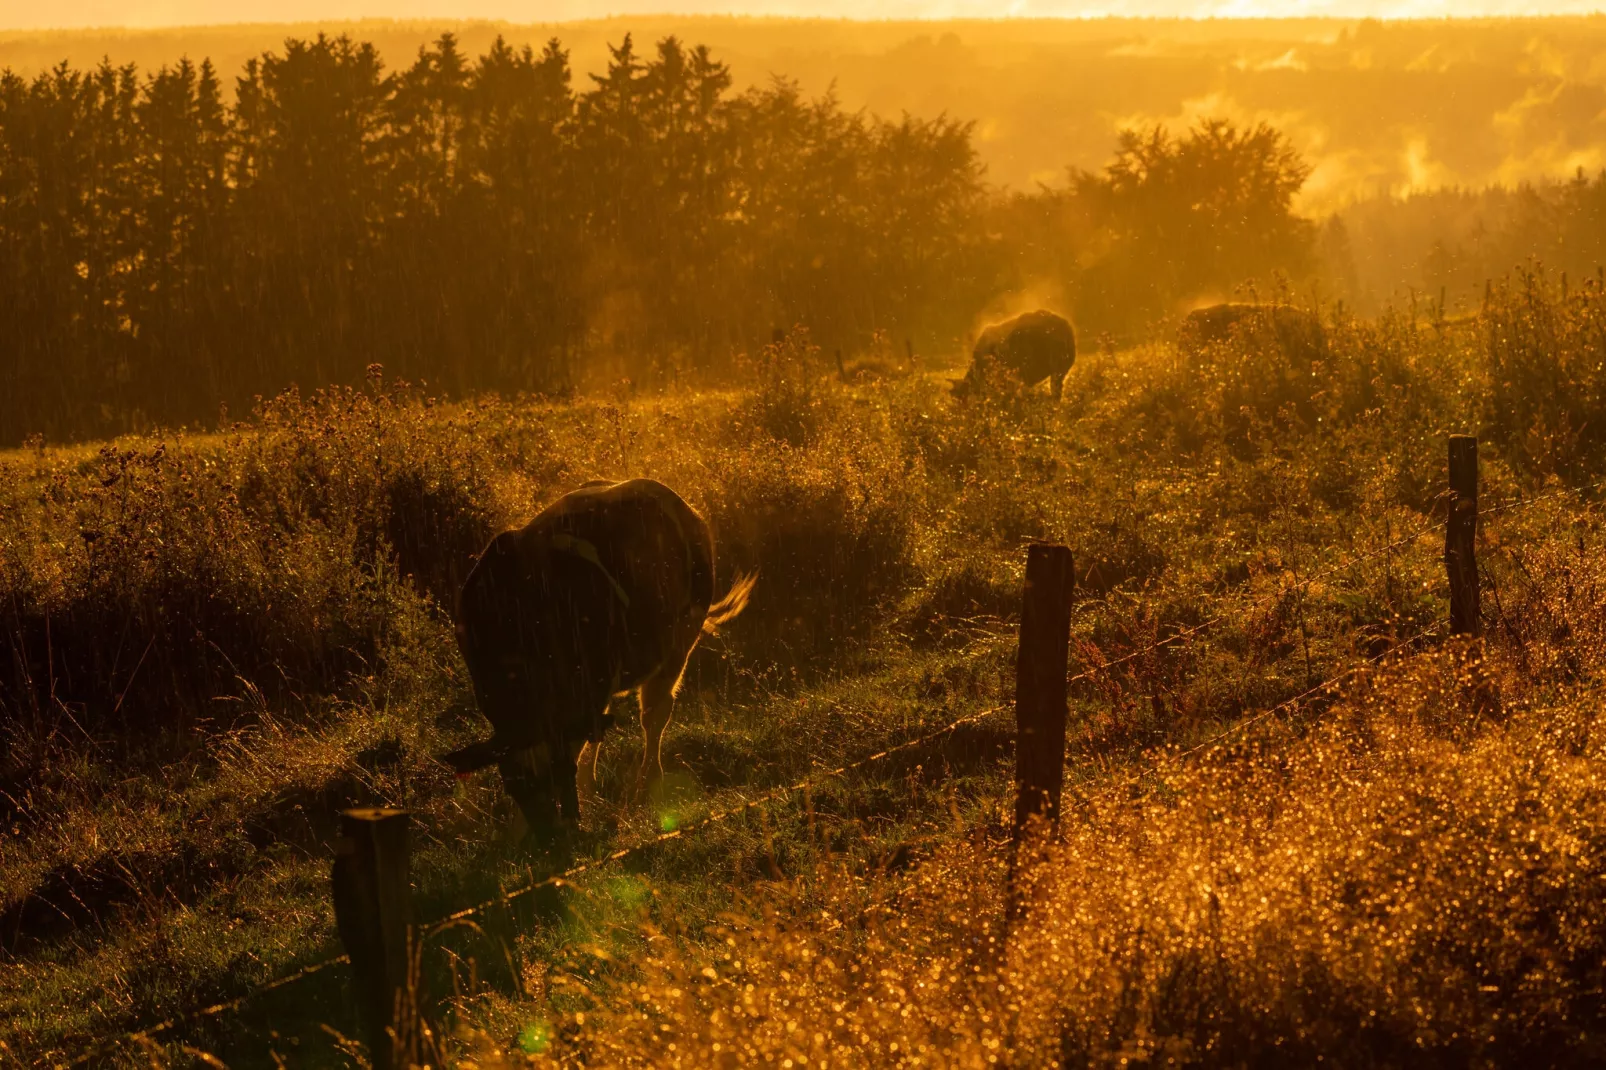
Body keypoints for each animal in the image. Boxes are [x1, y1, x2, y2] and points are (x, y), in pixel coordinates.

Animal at [443, 478, 754, 848]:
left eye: (552, 778)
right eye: (514, 788)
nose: (549, 840)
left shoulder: (589, 684)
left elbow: (576, 747)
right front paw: (521, 831)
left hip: (681, 637)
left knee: (655, 714)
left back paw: (648, 780)